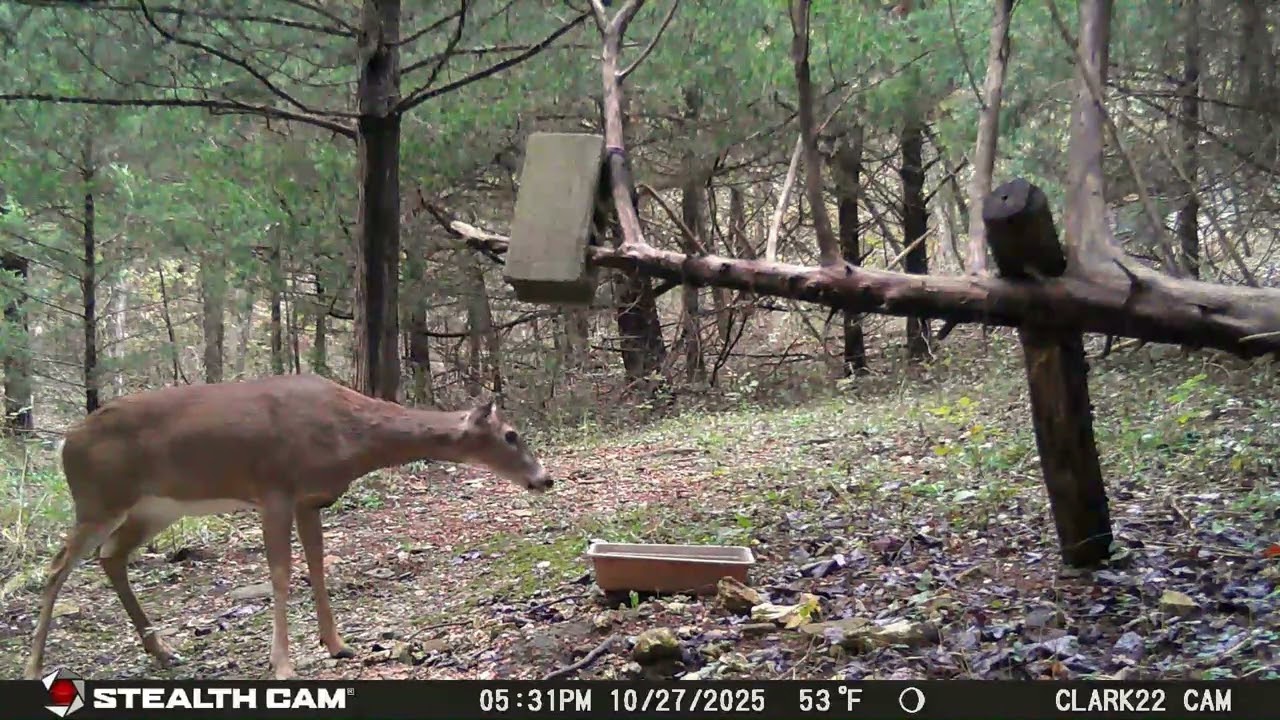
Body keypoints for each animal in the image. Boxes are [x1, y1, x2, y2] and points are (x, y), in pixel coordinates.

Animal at [23, 373, 552, 681]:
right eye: (511, 435)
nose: (544, 478)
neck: (349, 435)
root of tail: (65, 442)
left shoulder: (310, 499)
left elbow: (317, 567)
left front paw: (337, 645)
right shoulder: (273, 489)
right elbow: (281, 574)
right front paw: (282, 663)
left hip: (155, 508)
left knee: (110, 556)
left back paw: (164, 652)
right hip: (98, 499)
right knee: (56, 568)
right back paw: (33, 666)